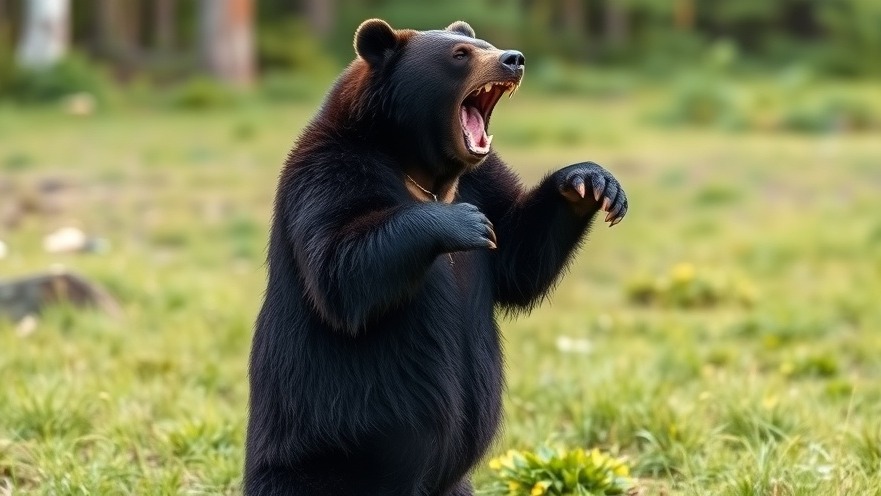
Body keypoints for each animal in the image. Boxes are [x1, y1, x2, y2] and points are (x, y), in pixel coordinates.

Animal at [244, 19, 628, 496]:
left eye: (485, 43)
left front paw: (591, 182)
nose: (514, 59)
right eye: (460, 54)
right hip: (322, 450)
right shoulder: (328, 175)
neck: (423, 169)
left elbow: (519, 257)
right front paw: (463, 223)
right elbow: (340, 273)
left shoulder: (484, 179)